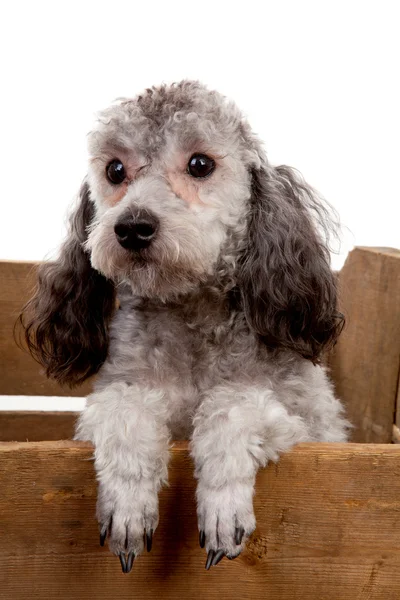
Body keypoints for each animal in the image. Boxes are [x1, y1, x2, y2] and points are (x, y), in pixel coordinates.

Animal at [20, 79, 348, 572]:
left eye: (200, 164)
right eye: (115, 170)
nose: (133, 227)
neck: (193, 318)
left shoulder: (308, 431)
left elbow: (231, 407)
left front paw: (222, 507)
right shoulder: (111, 402)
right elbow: (125, 412)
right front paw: (128, 507)